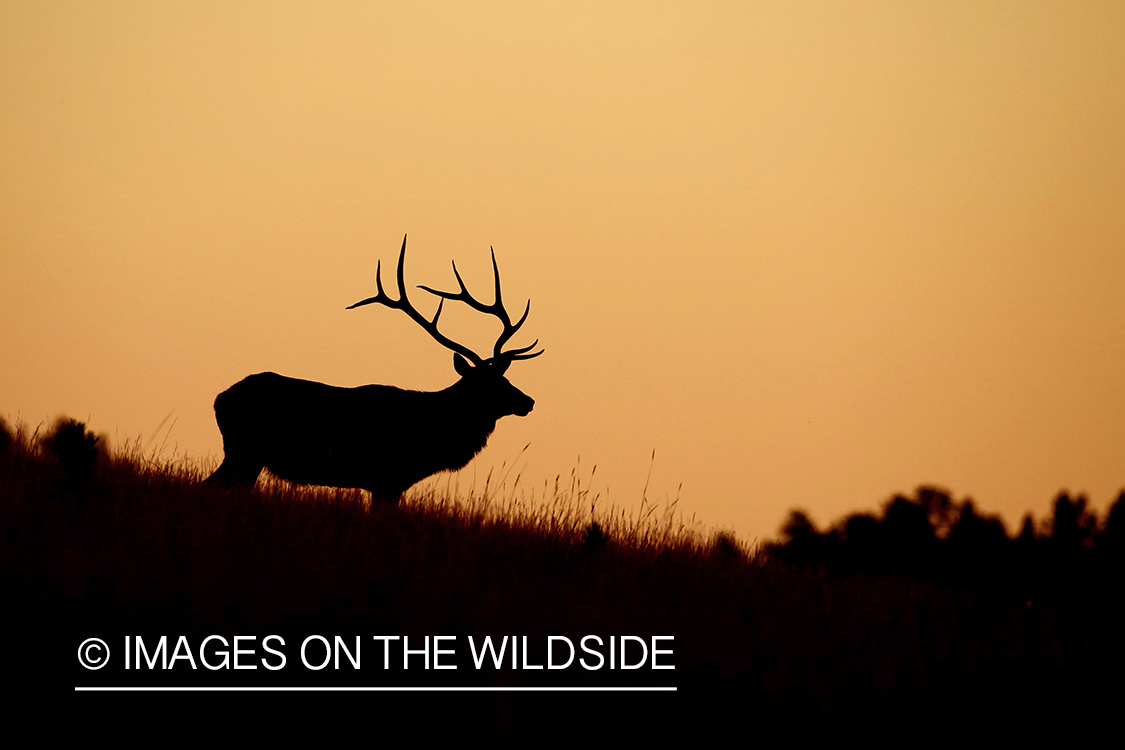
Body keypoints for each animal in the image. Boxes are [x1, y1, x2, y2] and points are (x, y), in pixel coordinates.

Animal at [205, 235, 543, 503]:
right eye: (488, 383)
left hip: (246, 456)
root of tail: (220, 398)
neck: (433, 430)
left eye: (505, 377)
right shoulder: (388, 479)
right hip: (243, 450)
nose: (528, 401)